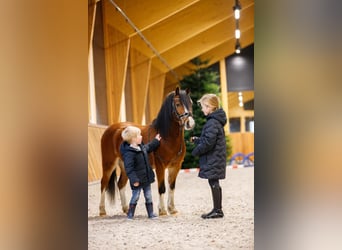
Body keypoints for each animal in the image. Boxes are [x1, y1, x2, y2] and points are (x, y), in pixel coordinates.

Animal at [99, 87, 195, 216]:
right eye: (178, 104)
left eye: (191, 103)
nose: (190, 123)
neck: (166, 137)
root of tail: (110, 129)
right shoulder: (160, 166)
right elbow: (162, 187)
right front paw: (162, 210)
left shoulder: (176, 166)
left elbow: (172, 187)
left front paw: (172, 209)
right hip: (108, 164)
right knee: (103, 183)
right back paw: (102, 210)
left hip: (125, 165)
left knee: (120, 184)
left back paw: (126, 209)